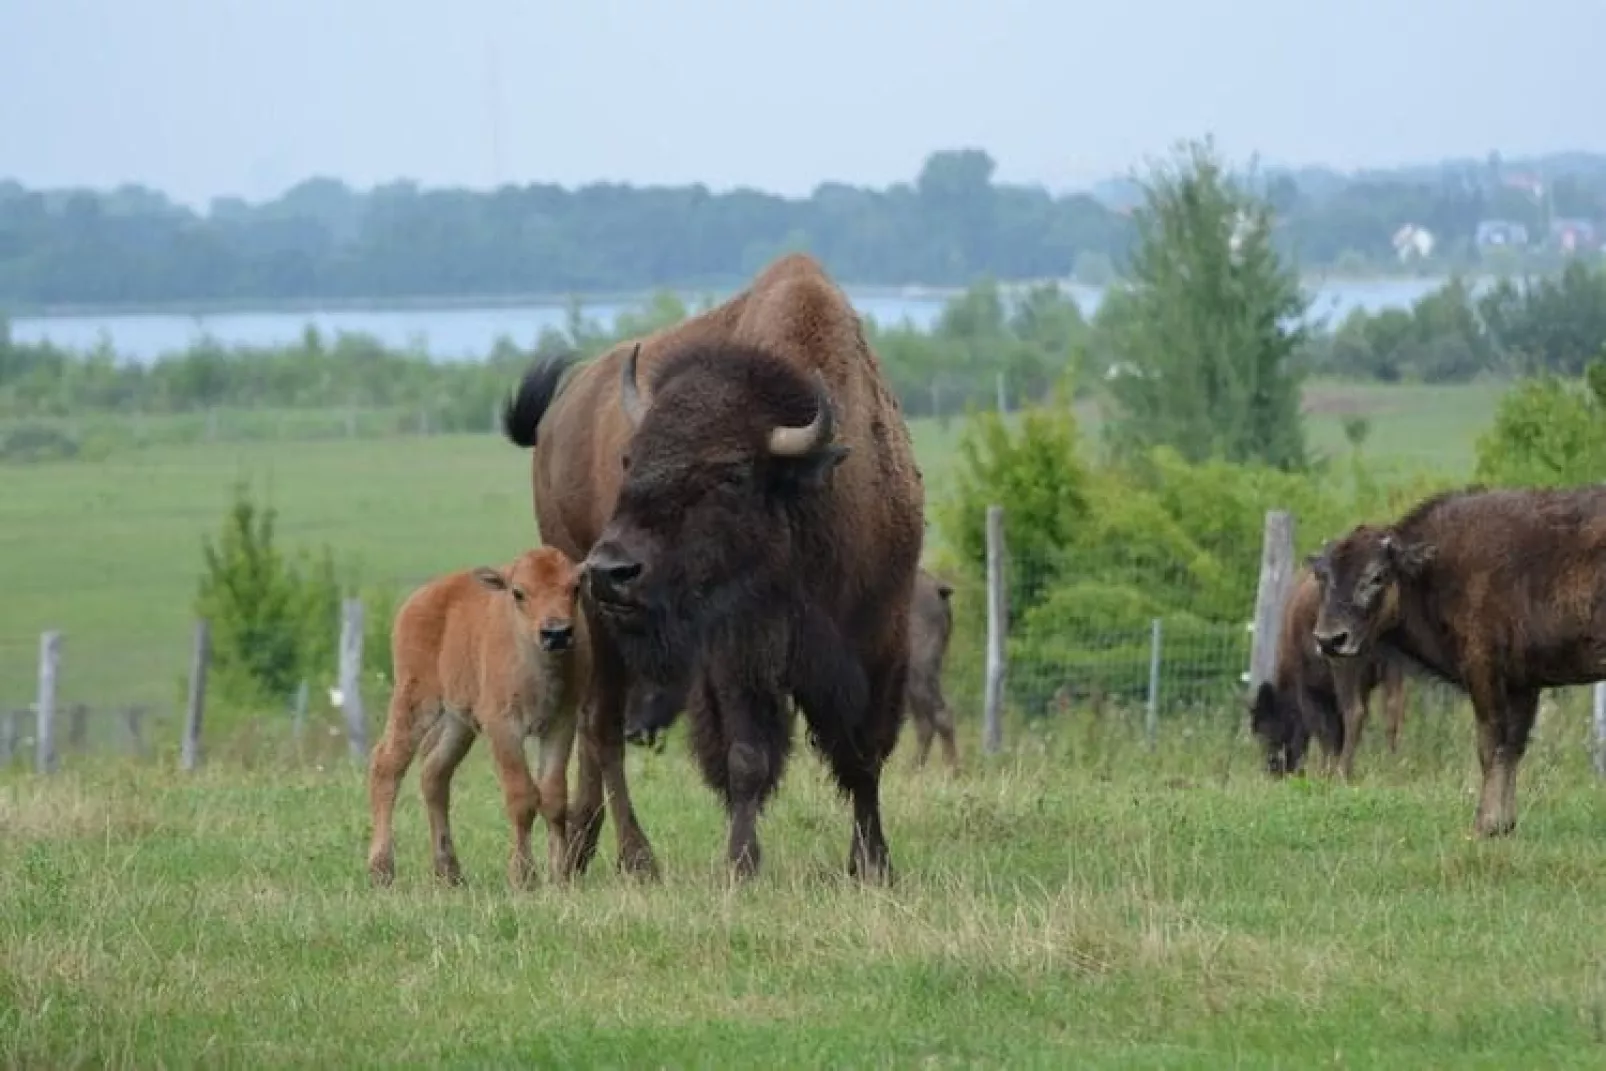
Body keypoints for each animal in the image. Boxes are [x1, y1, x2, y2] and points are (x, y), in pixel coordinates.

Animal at [364, 545, 591, 886]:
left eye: (575, 587)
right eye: (518, 592)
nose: (556, 633)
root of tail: (419, 599)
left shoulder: (561, 724)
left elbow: (554, 796)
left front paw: (560, 876)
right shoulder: (503, 728)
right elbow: (522, 796)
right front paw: (523, 876)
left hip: (458, 723)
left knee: (434, 773)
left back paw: (449, 871)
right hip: (415, 701)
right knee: (387, 765)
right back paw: (381, 869)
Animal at [501, 255, 931, 886]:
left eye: (731, 474)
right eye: (629, 458)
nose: (609, 570)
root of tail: (560, 412)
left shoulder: (880, 640)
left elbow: (864, 755)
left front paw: (873, 863)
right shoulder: (737, 655)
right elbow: (746, 757)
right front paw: (741, 863)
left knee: (590, 730)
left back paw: (581, 847)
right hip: (595, 624)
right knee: (602, 730)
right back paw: (636, 857)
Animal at [1246, 568, 1413, 780]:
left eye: (1265, 730)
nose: (1274, 769)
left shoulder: (1308, 688)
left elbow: (1325, 730)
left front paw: (1326, 773)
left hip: (1344, 662)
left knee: (1355, 713)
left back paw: (1342, 773)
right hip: (1394, 667)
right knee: (1393, 712)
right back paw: (1392, 765)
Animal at [1304, 484, 1606, 834]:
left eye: (1377, 576)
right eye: (1322, 577)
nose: (1330, 639)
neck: (1435, 569)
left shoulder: (1484, 671)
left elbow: (1491, 744)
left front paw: (1484, 825)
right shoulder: (1522, 683)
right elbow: (1512, 747)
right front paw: (1504, 824)